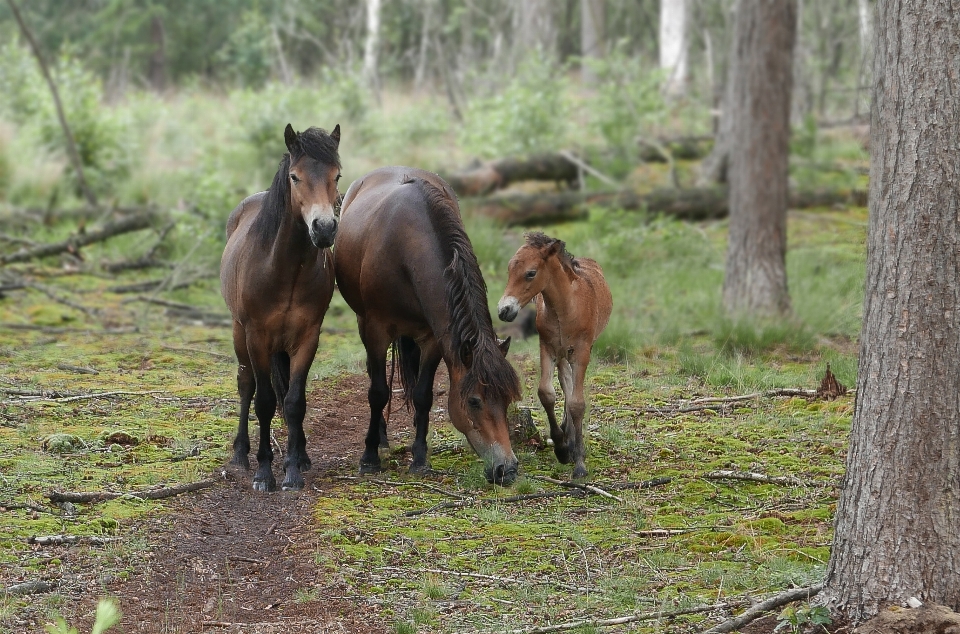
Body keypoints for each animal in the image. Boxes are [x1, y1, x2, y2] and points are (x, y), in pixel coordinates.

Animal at [221, 122, 342, 488]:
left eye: (337, 175)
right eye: (295, 176)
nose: (324, 228)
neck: (283, 269)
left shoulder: (307, 337)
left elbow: (293, 401)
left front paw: (292, 470)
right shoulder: (257, 336)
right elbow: (263, 401)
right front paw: (263, 472)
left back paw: (300, 456)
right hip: (240, 333)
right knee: (246, 385)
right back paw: (240, 456)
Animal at [332, 165, 524, 482]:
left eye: (507, 400)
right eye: (474, 401)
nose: (506, 469)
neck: (405, 247)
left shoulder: (435, 338)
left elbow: (423, 395)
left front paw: (420, 458)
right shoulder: (376, 330)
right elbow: (378, 392)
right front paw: (370, 457)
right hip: (363, 323)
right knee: (375, 377)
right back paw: (380, 441)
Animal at [498, 233, 612, 478]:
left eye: (531, 273)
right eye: (509, 269)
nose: (504, 311)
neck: (565, 308)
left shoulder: (581, 351)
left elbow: (577, 403)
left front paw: (579, 463)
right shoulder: (547, 347)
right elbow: (547, 393)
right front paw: (561, 447)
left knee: (570, 386)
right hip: (560, 353)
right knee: (565, 380)